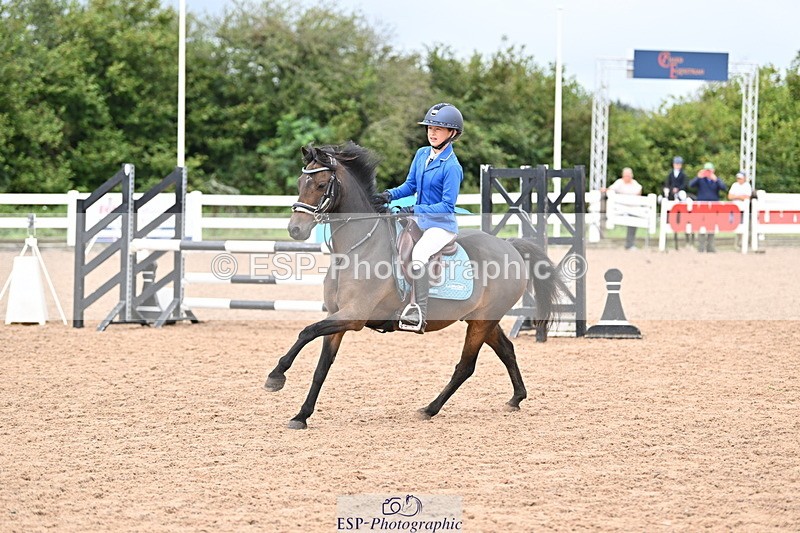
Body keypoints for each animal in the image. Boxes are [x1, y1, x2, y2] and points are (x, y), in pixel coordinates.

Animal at [264, 142, 564, 429]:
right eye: (300, 183)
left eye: (321, 184)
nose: (295, 230)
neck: (357, 249)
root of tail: (509, 246)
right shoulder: (336, 316)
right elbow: (321, 368)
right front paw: (301, 415)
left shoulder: (354, 316)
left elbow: (306, 331)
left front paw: (276, 376)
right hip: (481, 320)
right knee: (506, 350)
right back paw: (516, 398)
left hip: (481, 322)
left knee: (466, 366)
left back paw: (429, 409)